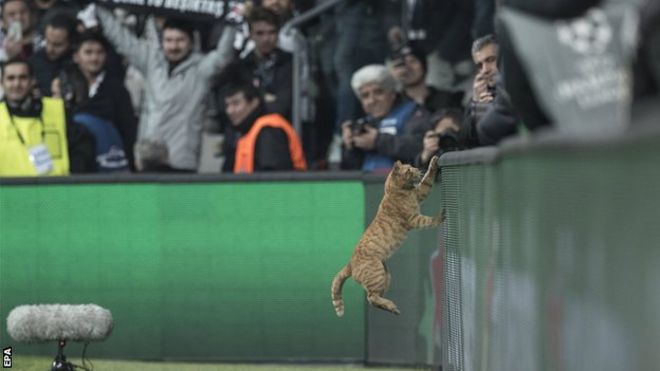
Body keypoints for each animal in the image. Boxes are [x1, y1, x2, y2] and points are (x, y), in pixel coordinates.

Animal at [332, 157, 446, 316]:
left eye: (412, 166)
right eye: (409, 169)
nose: (417, 169)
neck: (394, 189)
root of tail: (350, 264)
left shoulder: (420, 193)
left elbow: (427, 180)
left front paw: (433, 161)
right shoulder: (414, 219)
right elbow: (430, 220)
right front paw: (440, 216)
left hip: (386, 277)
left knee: (374, 300)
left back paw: (392, 309)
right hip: (377, 275)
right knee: (371, 298)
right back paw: (392, 306)